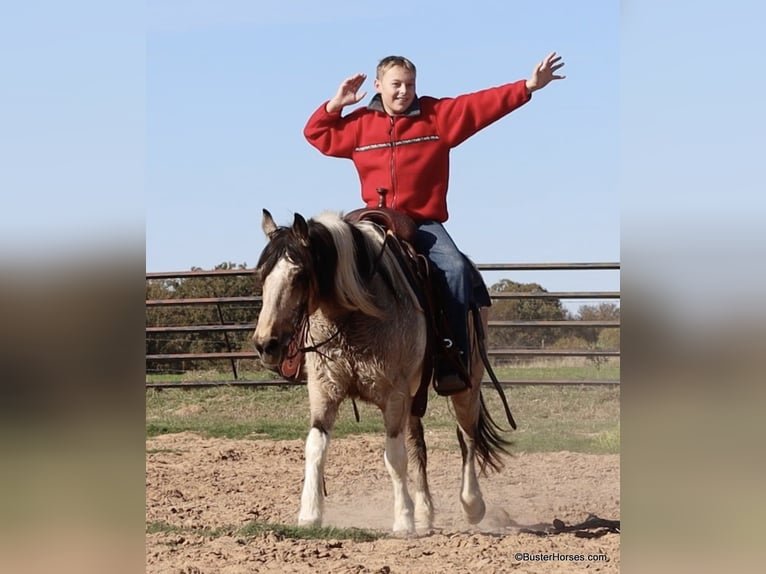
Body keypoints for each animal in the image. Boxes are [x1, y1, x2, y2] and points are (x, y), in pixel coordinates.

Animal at [252, 208, 513, 534]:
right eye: (262, 276)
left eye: (299, 275)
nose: (265, 344)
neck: (353, 315)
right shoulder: (324, 392)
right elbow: (315, 446)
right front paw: (309, 514)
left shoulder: (394, 396)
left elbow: (394, 456)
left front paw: (403, 520)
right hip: (416, 396)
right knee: (418, 445)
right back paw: (425, 513)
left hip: (468, 383)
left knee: (467, 437)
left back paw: (472, 504)